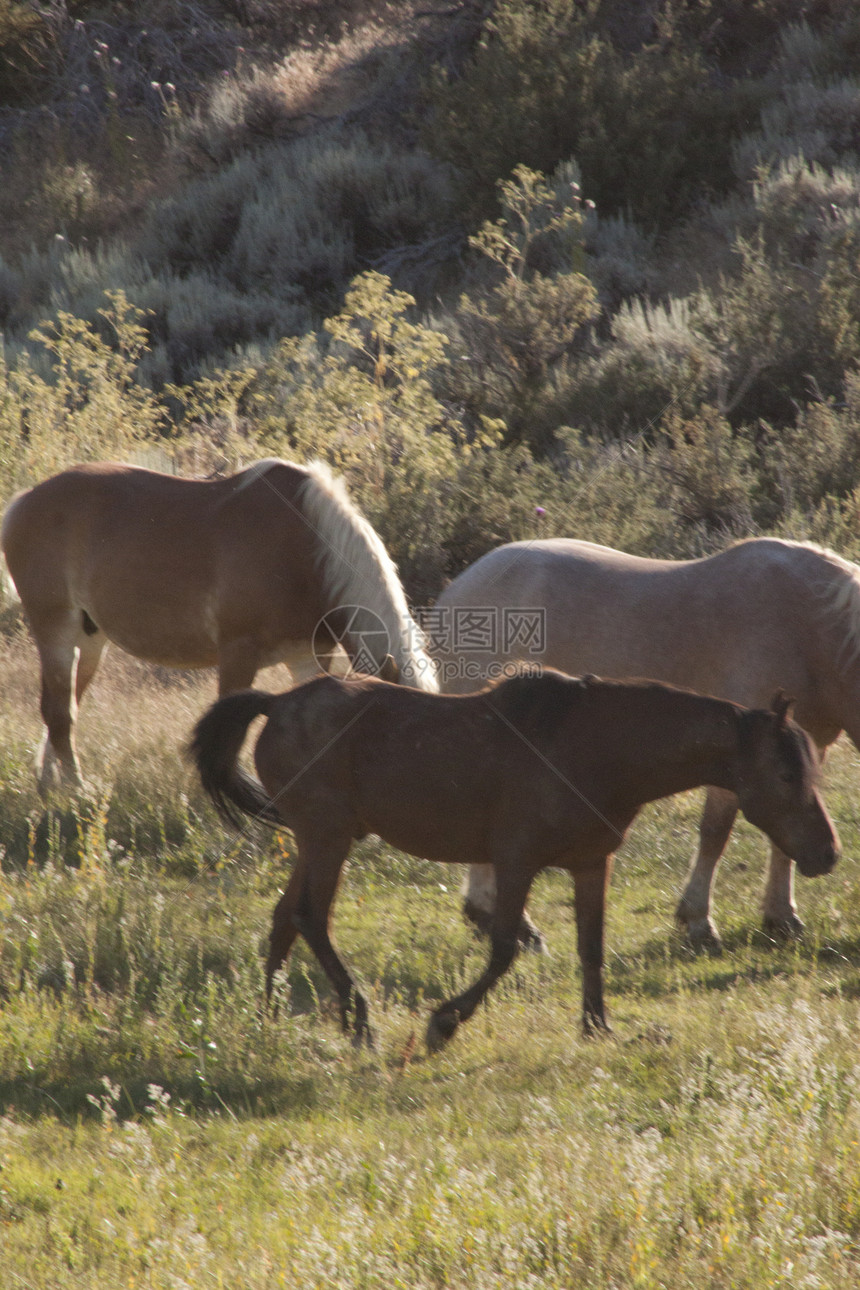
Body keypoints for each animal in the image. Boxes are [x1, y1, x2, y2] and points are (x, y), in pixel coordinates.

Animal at [1, 459, 438, 789]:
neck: (304, 551)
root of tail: (23, 501)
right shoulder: (238, 655)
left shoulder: (307, 660)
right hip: (55, 630)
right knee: (61, 713)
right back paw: (77, 791)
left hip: (89, 641)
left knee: (61, 710)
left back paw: (50, 785)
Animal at [188, 670, 840, 1052]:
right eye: (787, 774)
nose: (828, 853)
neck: (593, 749)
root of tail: (278, 702)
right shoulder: (516, 860)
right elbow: (503, 948)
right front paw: (444, 1023)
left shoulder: (591, 863)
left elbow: (591, 947)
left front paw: (598, 1026)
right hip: (327, 838)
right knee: (311, 918)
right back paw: (359, 1020)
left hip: (317, 838)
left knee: (285, 917)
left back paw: (269, 1016)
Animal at [433, 534, 860, 949]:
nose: (829, 857)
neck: (809, 629)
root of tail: (457, 588)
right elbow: (715, 834)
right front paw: (698, 922)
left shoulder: (804, 751)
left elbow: (786, 830)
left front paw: (781, 917)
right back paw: (506, 922)